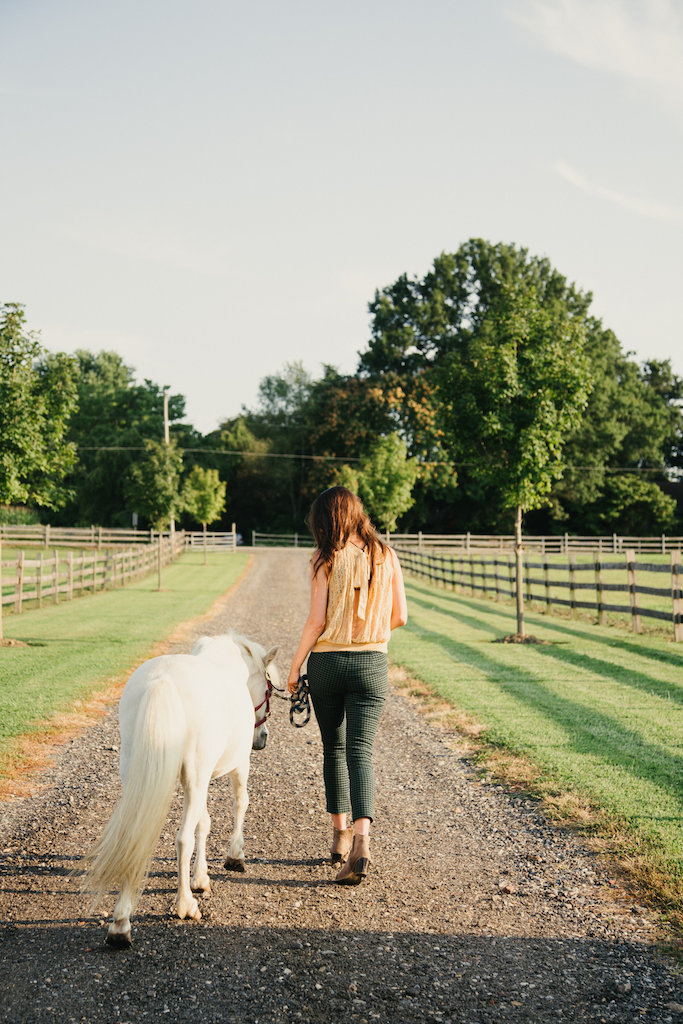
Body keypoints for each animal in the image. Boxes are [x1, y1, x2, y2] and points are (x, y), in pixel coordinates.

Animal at [81, 630, 280, 950]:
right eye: (268, 690)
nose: (261, 739)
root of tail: (161, 681)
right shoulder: (236, 765)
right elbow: (240, 803)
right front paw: (234, 856)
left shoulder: (200, 779)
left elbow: (204, 822)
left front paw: (201, 877)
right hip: (197, 775)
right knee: (182, 839)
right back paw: (185, 906)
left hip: (137, 774)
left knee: (135, 835)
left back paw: (120, 924)